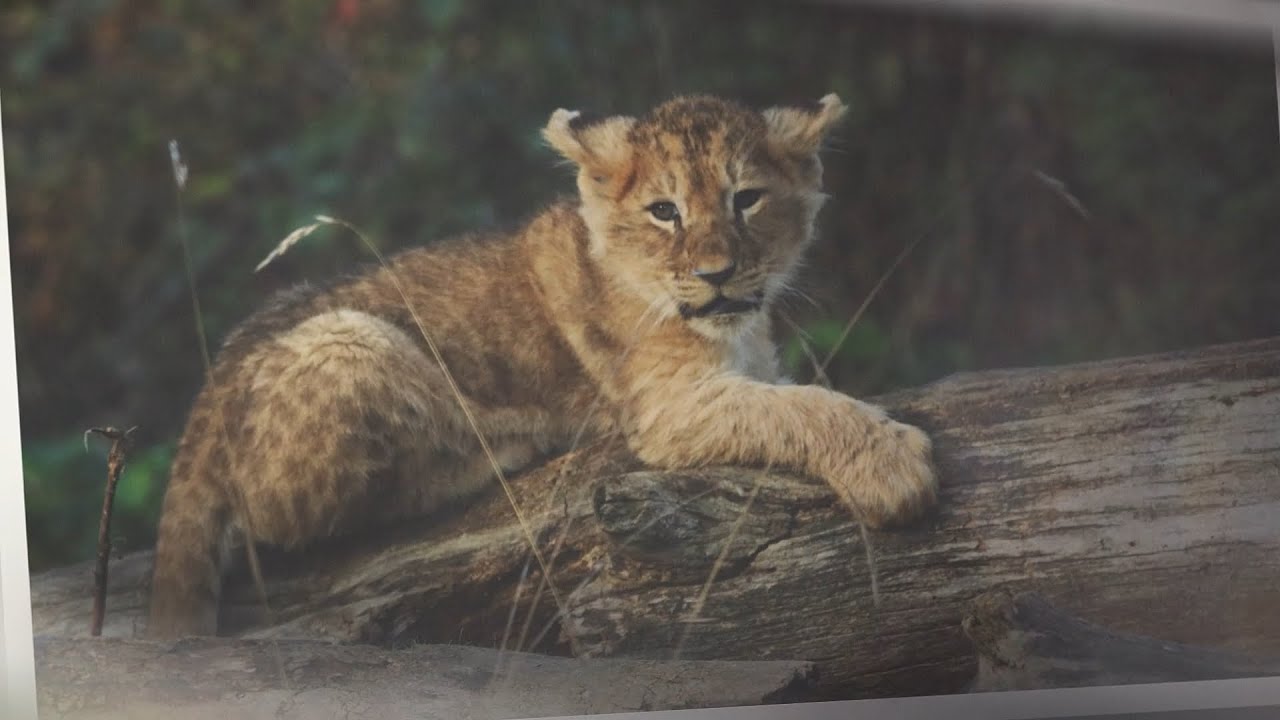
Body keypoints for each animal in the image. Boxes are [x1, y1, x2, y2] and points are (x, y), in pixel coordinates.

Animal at [147, 93, 938, 639]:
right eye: (664, 211)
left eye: (747, 199)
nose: (716, 274)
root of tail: (200, 408)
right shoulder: (668, 410)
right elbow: (800, 406)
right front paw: (893, 466)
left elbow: (792, 393)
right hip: (350, 340)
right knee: (302, 520)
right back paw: (504, 444)